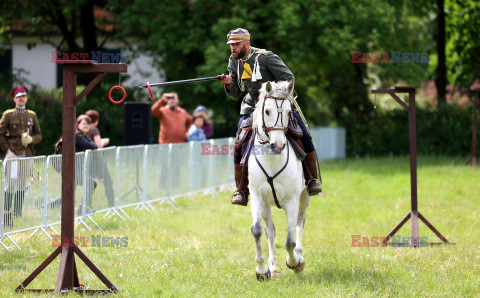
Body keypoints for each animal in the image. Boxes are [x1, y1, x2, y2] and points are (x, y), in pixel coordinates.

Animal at [248, 80, 312, 280]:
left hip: (305, 197)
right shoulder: (257, 197)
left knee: (300, 222)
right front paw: (262, 270)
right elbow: (257, 231)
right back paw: (273, 266)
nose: (278, 145)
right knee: (270, 229)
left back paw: (299, 257)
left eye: (289, 112)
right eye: (267, 111)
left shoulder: (292, 201)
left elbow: (290, 240)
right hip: (267, 204)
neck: (272, 159)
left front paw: (294, 262)